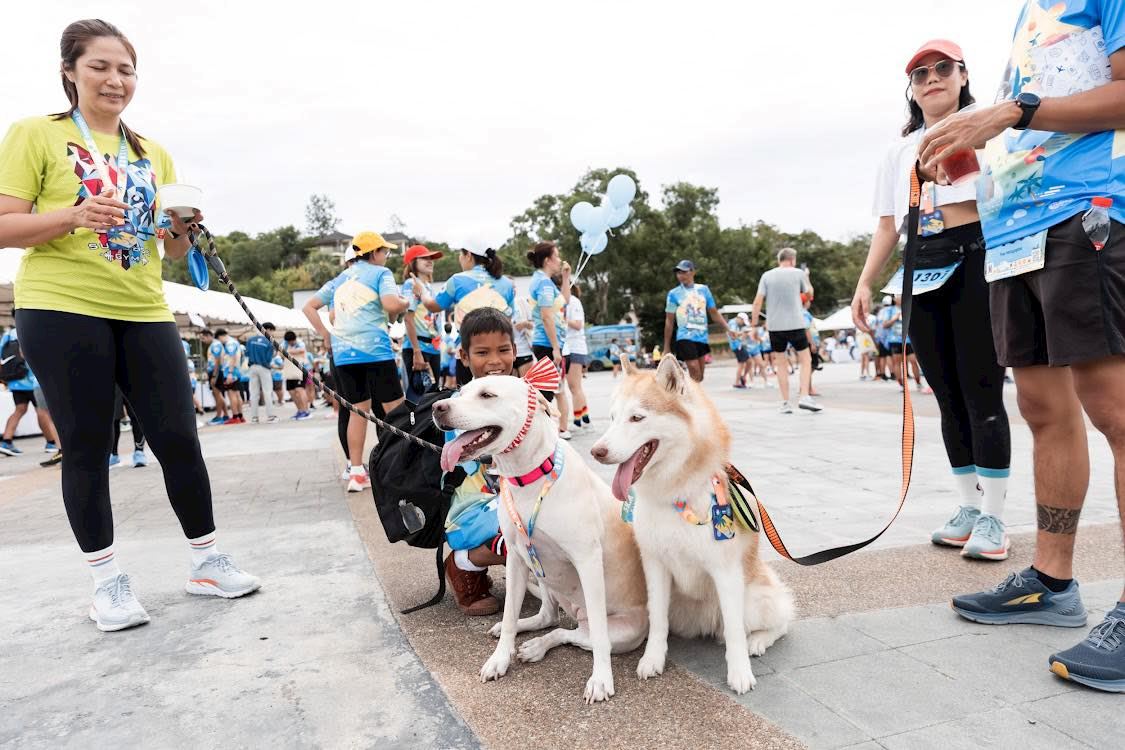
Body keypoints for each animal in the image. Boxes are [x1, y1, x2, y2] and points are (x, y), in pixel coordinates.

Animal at [432, 366, 648, 706]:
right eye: (461, 393)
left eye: (486, 395)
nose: (437, 408)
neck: (529, 475)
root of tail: (577, 613)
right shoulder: (517, 558)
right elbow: (509, 614)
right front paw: (499, 658)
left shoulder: (588, 561)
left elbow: (600, 637)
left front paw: (601, 679)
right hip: (543, 574)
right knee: (549, 618)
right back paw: (528, 635)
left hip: (623, 631)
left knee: (572, 633)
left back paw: (538, 647)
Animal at [589, 355, 792, 697]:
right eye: (613, 418)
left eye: (637, 418)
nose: (596, 451)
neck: (673, 493)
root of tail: (705, 624)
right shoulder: (655, 565)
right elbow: (657, 620)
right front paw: (652, 659)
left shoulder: (725, 571)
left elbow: (735, 632)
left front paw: (740, 674)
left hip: (754, 599)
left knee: (780, 620)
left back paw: (758, 641)